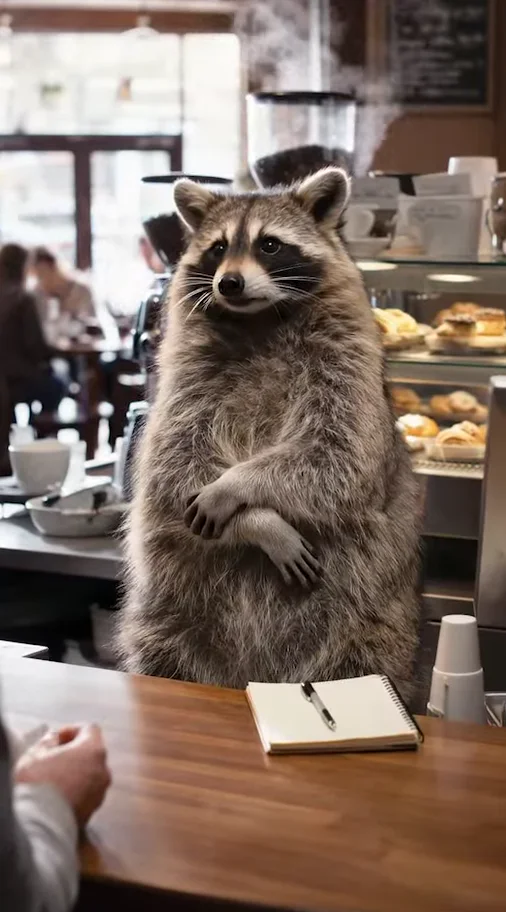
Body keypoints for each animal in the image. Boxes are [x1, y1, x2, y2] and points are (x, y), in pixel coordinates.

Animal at [118, 167, 421, 698]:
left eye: (271, 245)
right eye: (218, 247)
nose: (229, 283)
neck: (258, 320)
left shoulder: (348, 376)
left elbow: (337, 457)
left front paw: (237, 487)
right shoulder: (183, 386)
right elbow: (173, 468)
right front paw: (258, 522)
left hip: (370, 627)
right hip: (166, 621)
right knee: (161, 648)